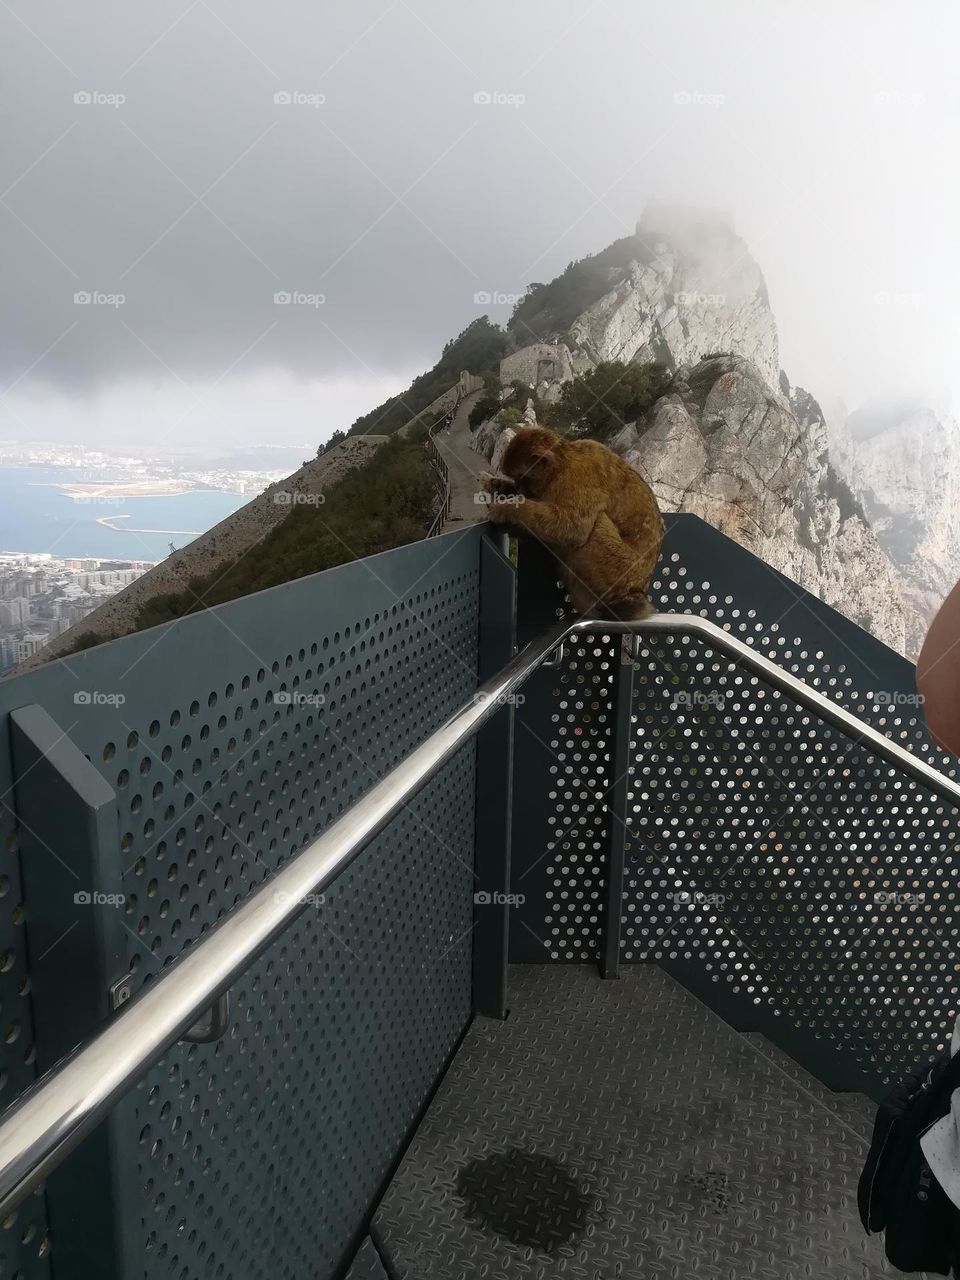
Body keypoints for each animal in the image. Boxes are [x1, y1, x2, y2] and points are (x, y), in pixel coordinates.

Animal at [480, 426, 664, 620]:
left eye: (522, 477)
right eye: (516, 479)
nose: (518, 486)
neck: (561, 465)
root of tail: (637, 589)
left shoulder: (577, 478)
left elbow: (573, 527)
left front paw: (507, 509)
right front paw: (497, 485)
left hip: (618, 569)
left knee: (596, 523)